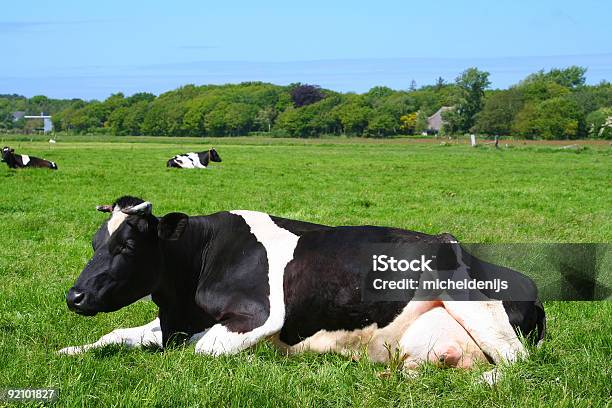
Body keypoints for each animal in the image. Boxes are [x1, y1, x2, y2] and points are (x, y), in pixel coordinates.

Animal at [59, 197, 544, 382]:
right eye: (95, 243)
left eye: (126, 246)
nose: (74, 296)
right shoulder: (171, 321)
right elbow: (117, 334)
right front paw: (69, 350)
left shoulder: (258, 316)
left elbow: (199, 348)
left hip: (477, 304)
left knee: (515, 364)